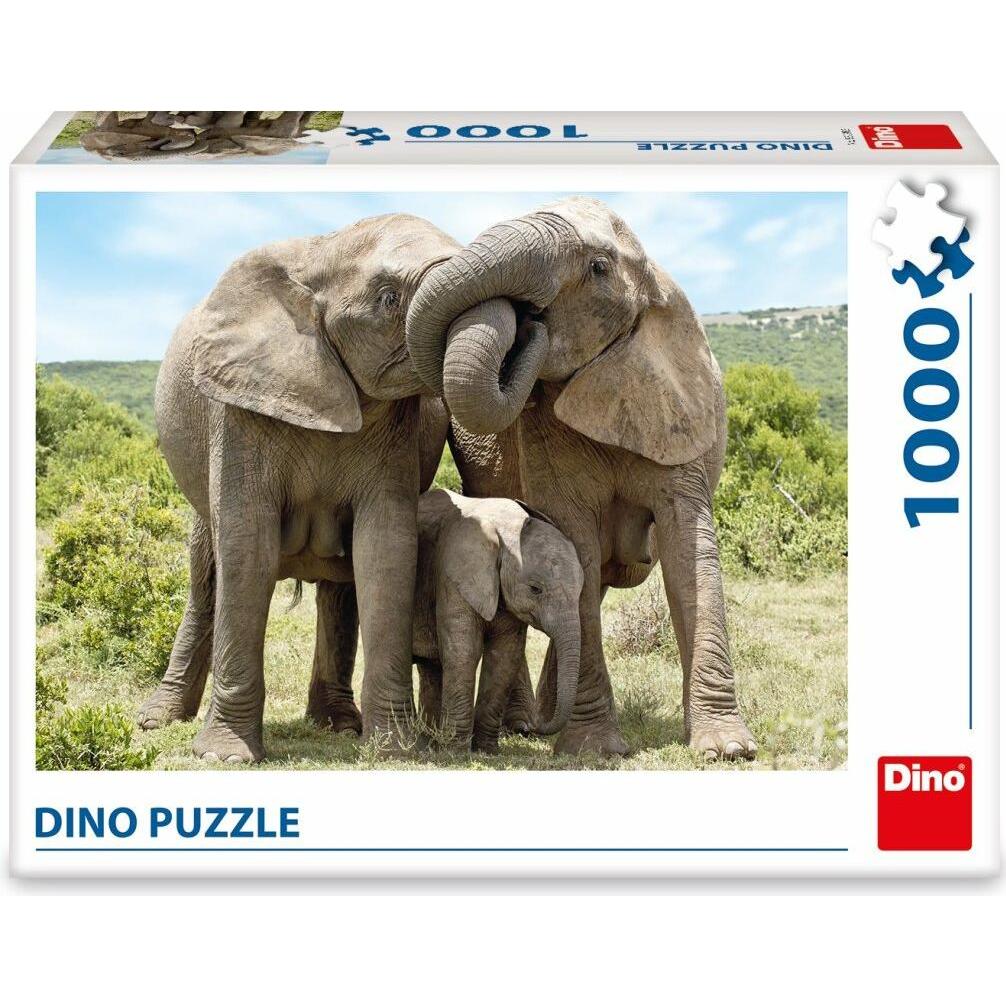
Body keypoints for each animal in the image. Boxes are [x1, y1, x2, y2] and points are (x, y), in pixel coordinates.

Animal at [137, 213, 460, 762]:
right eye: (388, 298)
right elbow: (248, 548)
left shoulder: (400, 429)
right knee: (207, 578)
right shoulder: (239, 408)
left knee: (340, 587)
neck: (321, 254)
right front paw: (224, 756)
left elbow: (385, 550)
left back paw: (337, 725)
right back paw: (156, 720)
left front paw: (396, 753)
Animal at [411, 489, 583, 752]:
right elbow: (464, 652)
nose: (529, 727)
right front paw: (455, 752)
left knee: (430, 667)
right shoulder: (453, 575)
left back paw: (429, 743)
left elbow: (505, 655)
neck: (507, 528)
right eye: (535, 589)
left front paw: (486, 750)